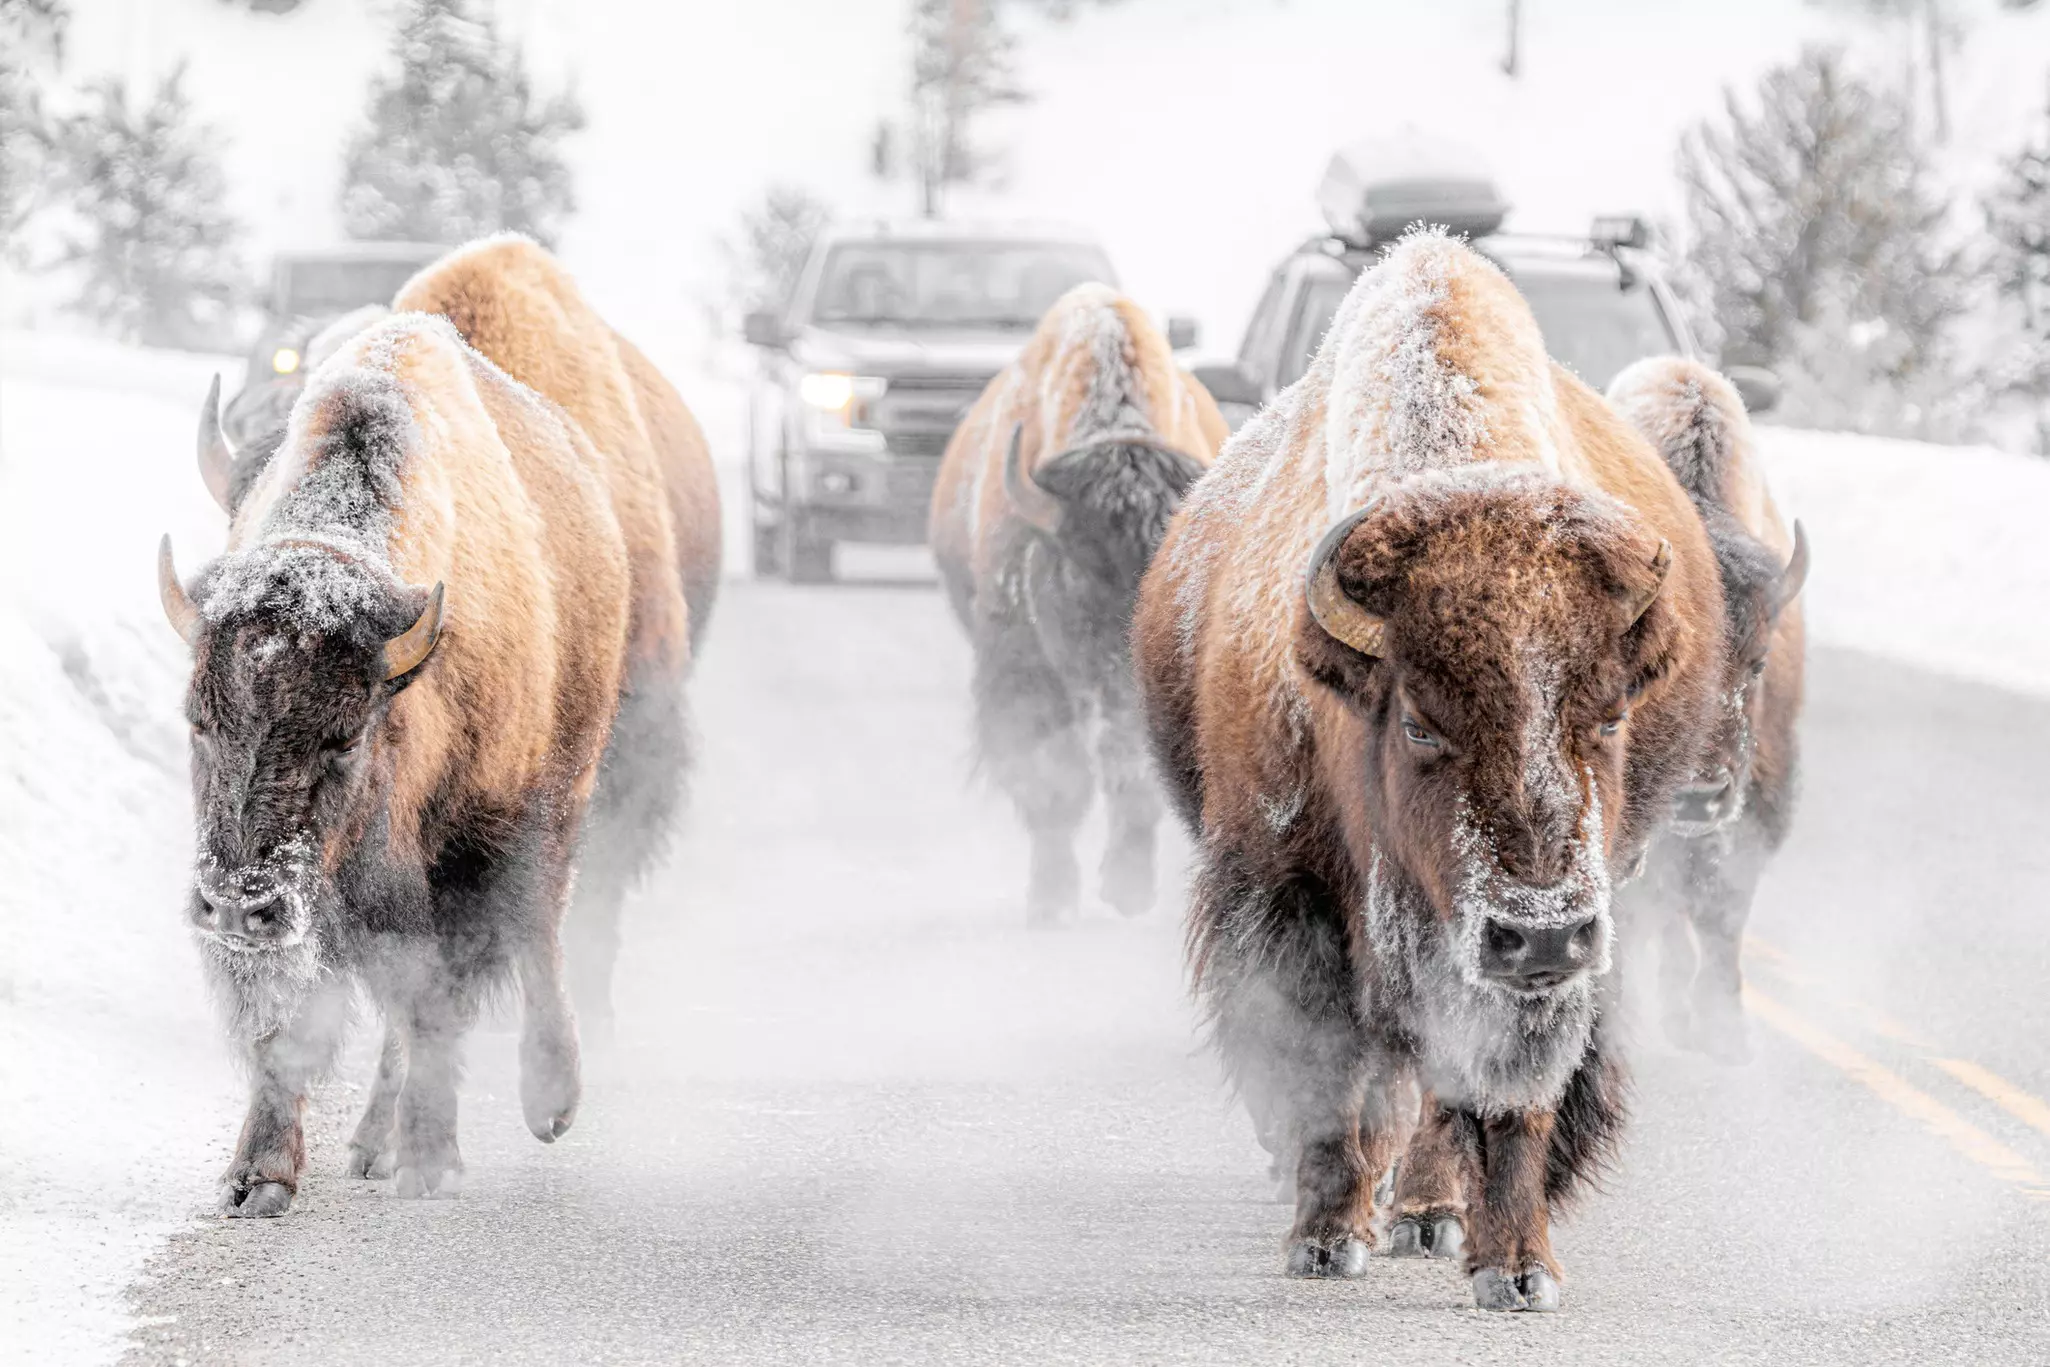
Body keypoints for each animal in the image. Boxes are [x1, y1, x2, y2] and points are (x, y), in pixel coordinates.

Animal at [930, 283, 1227, 923]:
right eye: (1079, 575)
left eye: (1171, 585)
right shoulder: (1028, 671)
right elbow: (1053, 775)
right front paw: (1052, 897)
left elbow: (1131, 775)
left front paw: (1127, 887)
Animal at [1132, 232, 1726, 1309]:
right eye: (1417, 720)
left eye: (1611, 712)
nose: (1539, 932)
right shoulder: (1290, 896)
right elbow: (1328, 1070)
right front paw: (1326, 1238)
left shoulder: (1551, 952)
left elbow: (1509, 1094)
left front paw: (1517, 1269)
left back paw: (1428, 1212)